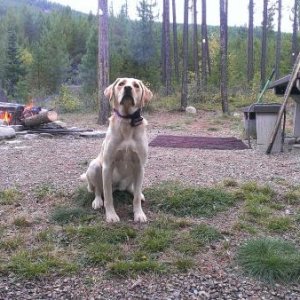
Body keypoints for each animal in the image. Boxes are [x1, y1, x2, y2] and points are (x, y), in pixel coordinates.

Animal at [80, 77, 152, 223]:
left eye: (136, 85)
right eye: (121, 84)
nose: (128, 88)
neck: (127, 122)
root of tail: (118, 187)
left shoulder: (140, 165)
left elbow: (136, 197)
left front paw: (139, 214)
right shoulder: (107, 165)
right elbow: (108, 196)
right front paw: (111, 215)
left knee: (133, 188)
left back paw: (138, 193)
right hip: (95, 166)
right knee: (98, 189)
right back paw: (97, 201)